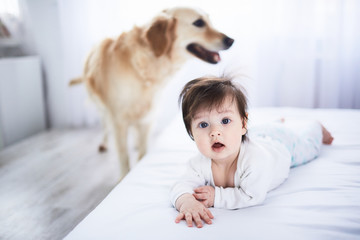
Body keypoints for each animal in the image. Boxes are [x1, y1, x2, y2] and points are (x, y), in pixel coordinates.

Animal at [70, 5, 235, 179]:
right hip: (101, 105)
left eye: (209, 21)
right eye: (198, 23)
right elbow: (123, 155)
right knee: (104, 124)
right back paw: (104, 142)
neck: (146, 64)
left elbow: (143, 150)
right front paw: (124, 176)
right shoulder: (118, 119)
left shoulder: (148, 116)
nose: (231, 40)